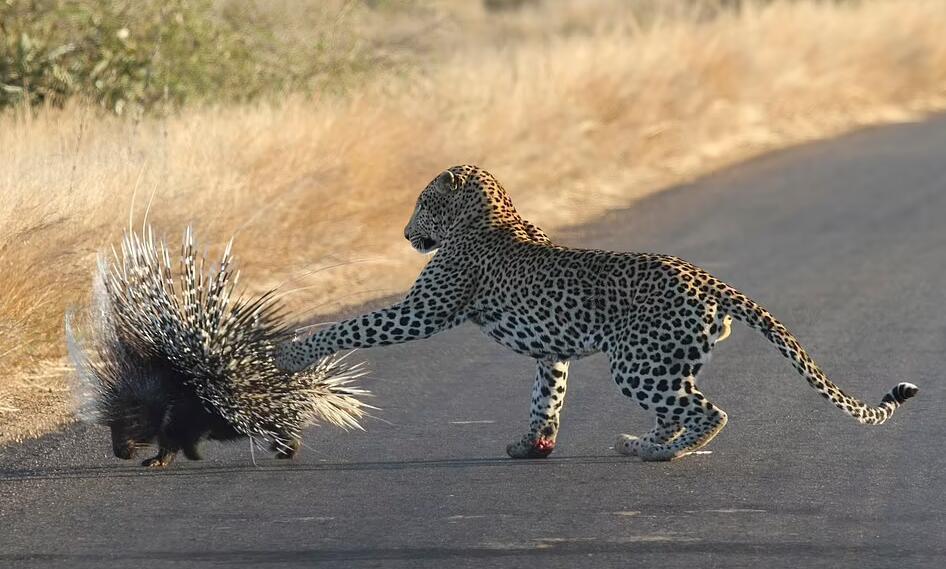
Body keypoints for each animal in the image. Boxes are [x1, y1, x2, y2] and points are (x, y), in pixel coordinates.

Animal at [272, 164, 916, 462]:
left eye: (424, 202)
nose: (407, 236)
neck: (489, 213)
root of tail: (711, 279)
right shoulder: (551, 353)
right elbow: (547, 396)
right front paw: (531, 445)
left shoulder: (424, 311)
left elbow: (353, 325)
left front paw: (294, 351)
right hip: (666, 364)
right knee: (678, 410)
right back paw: (640, 443)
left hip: (638, 363)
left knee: (708, 413)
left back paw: (658, 452)